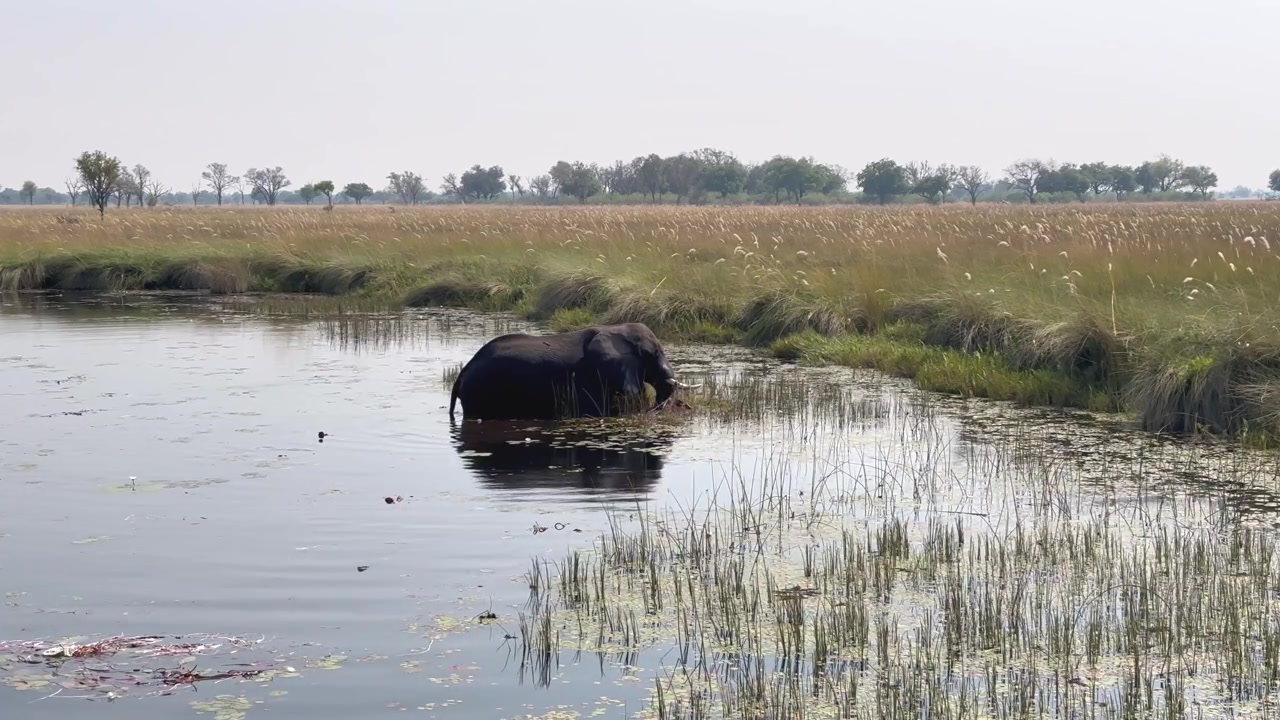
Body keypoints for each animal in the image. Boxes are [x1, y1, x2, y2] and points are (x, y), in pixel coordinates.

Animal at [448, 322, 697, 421]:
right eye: (653, 353)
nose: (655, 410)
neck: (615, 328)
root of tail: (461, 375)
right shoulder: (592, 378)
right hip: (481, 393)